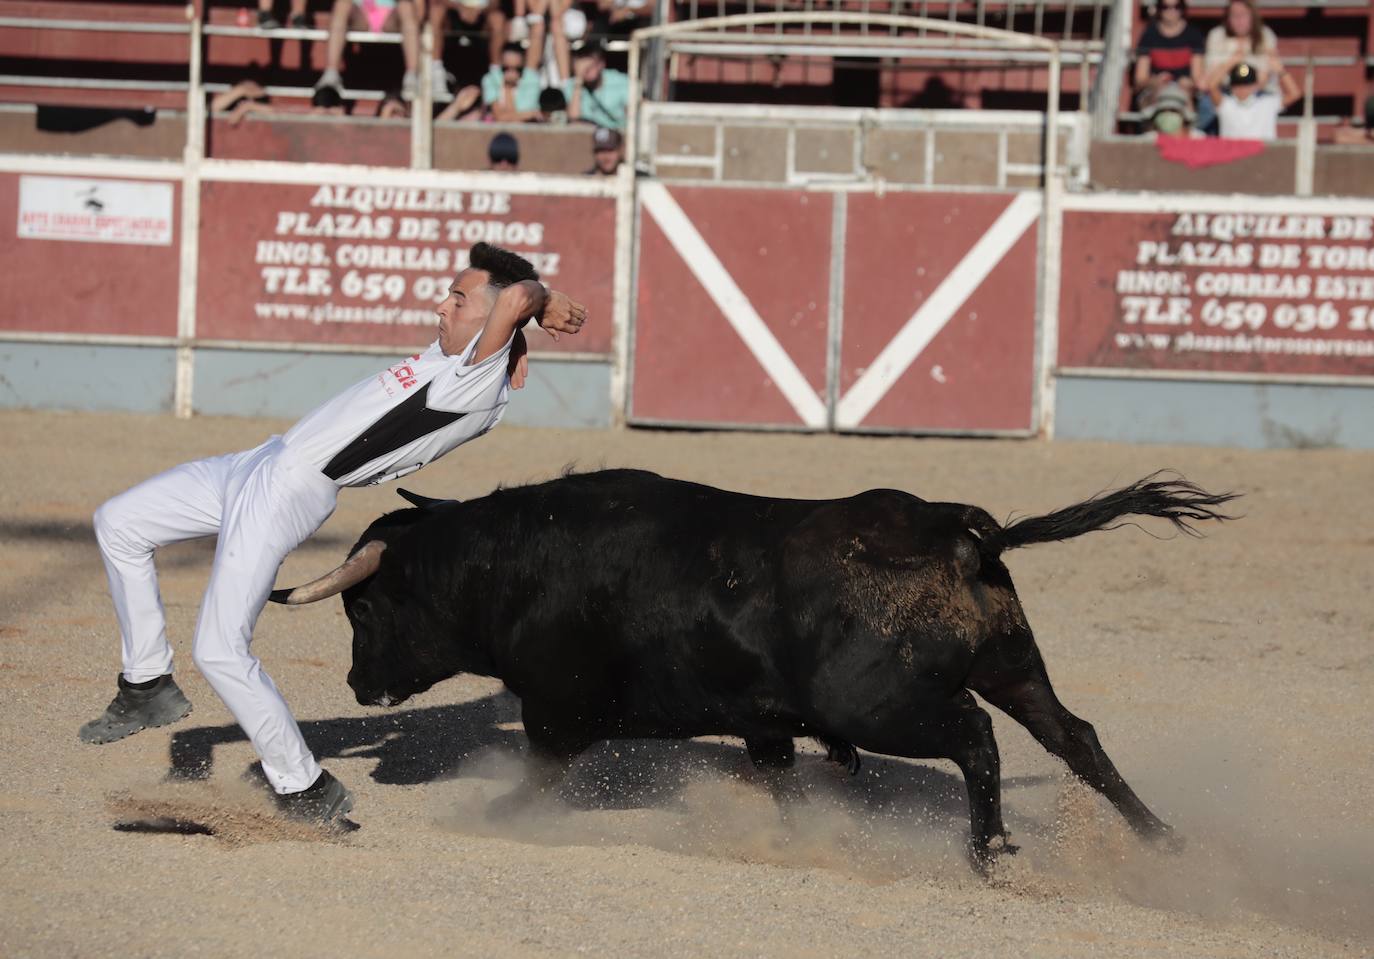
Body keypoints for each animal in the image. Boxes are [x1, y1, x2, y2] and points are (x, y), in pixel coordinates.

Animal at [267, 467, 1236, 862]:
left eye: (362, 607)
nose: (357, 685)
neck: (508, 564)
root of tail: (959, 534)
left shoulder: (559, 709)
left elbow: (540, 772)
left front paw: (494, 812)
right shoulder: (764, 725)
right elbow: (778, 777)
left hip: (880, 702)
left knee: (975, 737)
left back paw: (988, 847)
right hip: (1014, 665)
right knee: (1075, 737)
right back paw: (1162, 837)